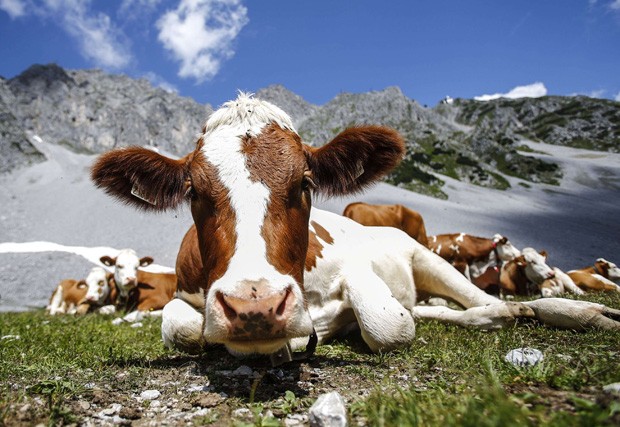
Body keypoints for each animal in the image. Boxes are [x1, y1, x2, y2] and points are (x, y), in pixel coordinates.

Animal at [89, 93, 620, 362]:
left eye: (304, 182)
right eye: (194, 192)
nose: (255, 307)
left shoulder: (357, 271)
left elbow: (388, 326)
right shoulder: (186, 296)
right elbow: (179, 327)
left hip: (427, 257)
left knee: (482, 303)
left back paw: (572, 312)